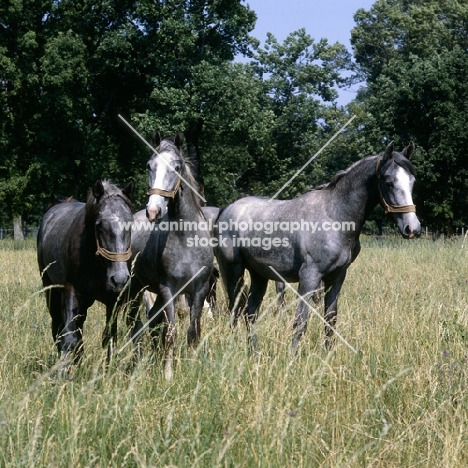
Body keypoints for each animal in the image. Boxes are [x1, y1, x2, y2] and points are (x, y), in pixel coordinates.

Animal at [37, 181, 134, 360]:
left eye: (130, 222)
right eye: (99, 224)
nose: (119, 279)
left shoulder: (113, 300)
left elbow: (110, 337)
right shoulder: (71, 291)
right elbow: (69, 336)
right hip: (51, 290)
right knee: (58, 325)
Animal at [126, 132, 214, 380]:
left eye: (176, 167)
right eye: (149, 166)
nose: (153, 211)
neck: (186, 239)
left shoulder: (199, 288)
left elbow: (193, 331)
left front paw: (192, 368)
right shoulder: (169, 289)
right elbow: (171, 333)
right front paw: (168, 374)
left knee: (152, 324)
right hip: (135, 290)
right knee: (136, 326)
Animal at [216, 142, 420, 352]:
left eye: (412, 182)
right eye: (389, 182)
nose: (412, 228)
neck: (336, 217)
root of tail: (226, 211)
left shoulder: (336, 277)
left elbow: (330, 321)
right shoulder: (309, 276)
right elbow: (300, 322)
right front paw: (293, 357)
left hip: (259, 275)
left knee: (250, 313)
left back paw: (254, 353)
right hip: (233, 271)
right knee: (234, 310)